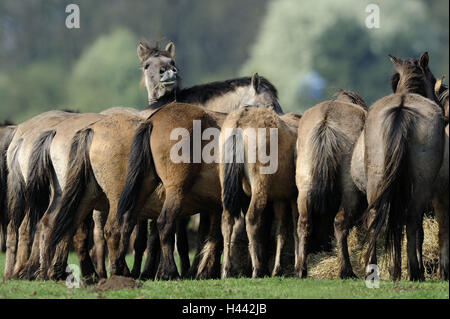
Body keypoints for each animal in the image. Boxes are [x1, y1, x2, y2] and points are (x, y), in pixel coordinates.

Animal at [219, 107, 300, 278]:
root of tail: (240, 121)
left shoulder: (279, 198)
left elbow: (281, 231)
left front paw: (277, 268)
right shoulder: (293, 196)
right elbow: (295, 227)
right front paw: (297, 267)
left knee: (227, 220)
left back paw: (226, 269)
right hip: (260, 186)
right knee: (251, 218)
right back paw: (256, 268)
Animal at [294, 89, 368, 278]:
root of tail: (327, 121)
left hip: (305, 187)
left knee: (304, 223)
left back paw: (301, 269)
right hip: (350, 191)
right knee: (340, 223)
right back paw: (346, 270)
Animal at [362, 51, 442, 282]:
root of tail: (402, 109)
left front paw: (393, 269)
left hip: (376, 178)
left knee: (376, 216)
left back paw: (372, 270)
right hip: (422, 184)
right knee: (412, 220)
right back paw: (415, 271)